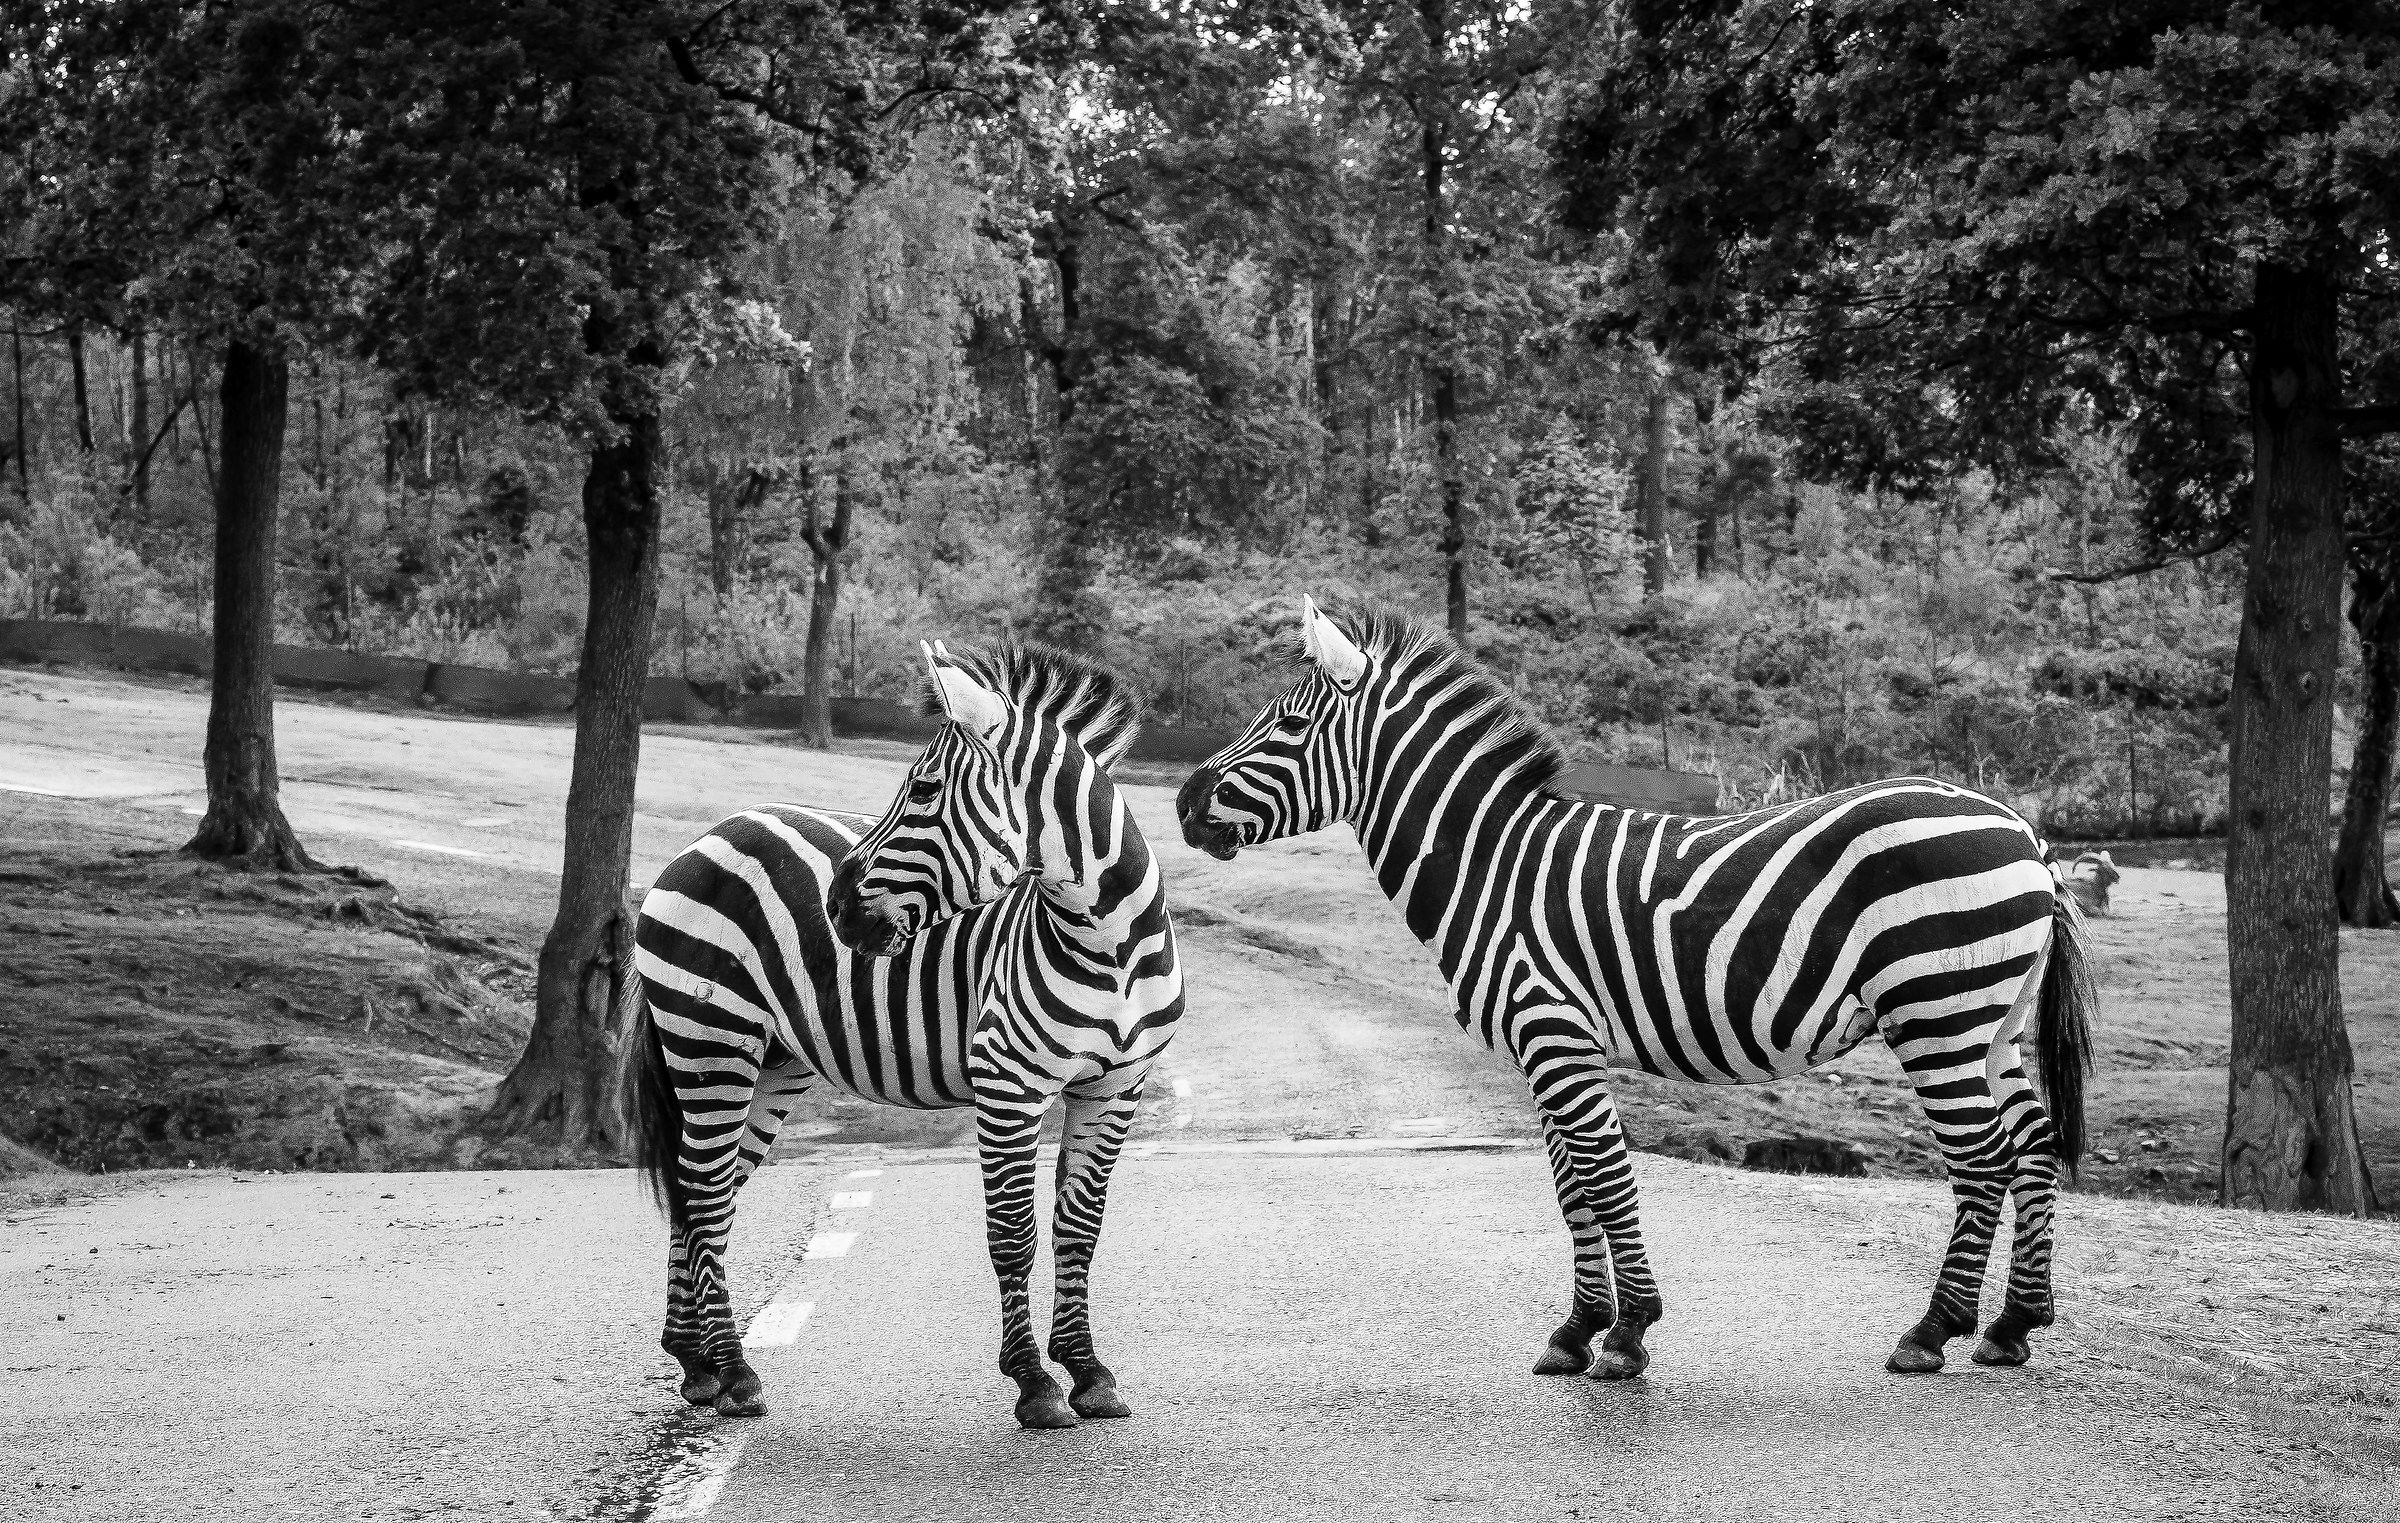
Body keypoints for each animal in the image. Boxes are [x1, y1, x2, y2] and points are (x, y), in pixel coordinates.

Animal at [623, 639, 1183, 1429]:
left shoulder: (1115, 1089)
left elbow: (1079, 1229)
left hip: (772, 1062)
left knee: (704, 1192)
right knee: (701, 1192)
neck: (1110, 942)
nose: (835, 906)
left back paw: (697, 1361)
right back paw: (735, 1372)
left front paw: (1088, 1371)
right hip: (711, 1039)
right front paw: (1034, 1381)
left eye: (922, 789)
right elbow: (1013, 1232)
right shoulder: (1008, 1082)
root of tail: (710, 834)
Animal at [1176, 598, 2096, 1382]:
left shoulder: (1553, 1031)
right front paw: (1576, 1329)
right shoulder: (1547, 1047)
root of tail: (2024, 829)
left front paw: (1627, 1332)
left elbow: (1605, 1175)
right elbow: (1571, 1189)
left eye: (1290, 725)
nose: (1184, 804)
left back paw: (1933, 1330)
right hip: (1993, 1018)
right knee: (2034, 1142)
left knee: (1983, 1156)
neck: (1491, 864)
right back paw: (2013, 1324)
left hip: (1938, 1009)